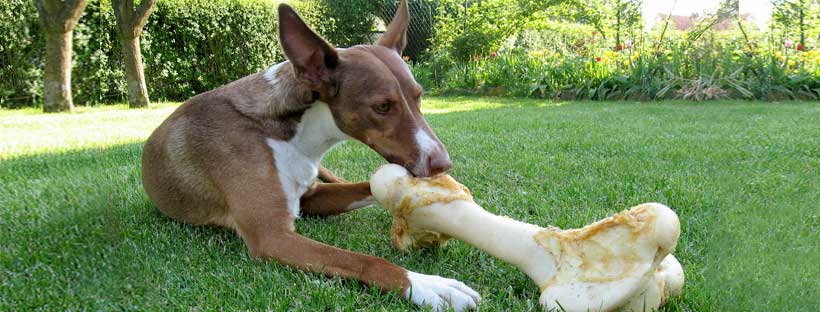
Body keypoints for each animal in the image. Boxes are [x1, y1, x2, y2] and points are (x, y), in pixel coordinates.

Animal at [141, 1, 480, 310]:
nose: (442, 164)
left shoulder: (312, 197)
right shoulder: (271, 235)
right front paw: (427, 285)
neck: (295, 135)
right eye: (383, 106)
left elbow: (368, 186)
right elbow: (365, 260)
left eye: (419, 96)